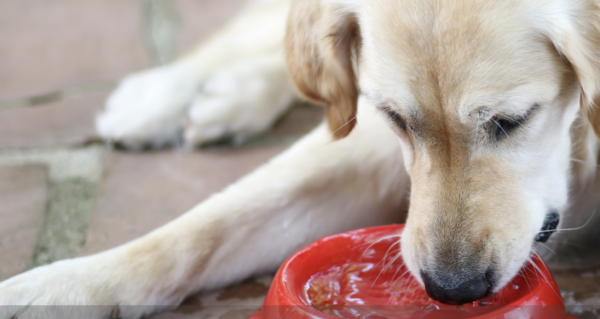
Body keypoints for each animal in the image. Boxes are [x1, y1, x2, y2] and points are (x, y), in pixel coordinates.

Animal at [1, 0, 600, 318]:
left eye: (512, 120)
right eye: (396, 117)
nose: (452, 290)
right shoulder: (365, 140)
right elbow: (199, 230)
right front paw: (55, 289)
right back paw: (166, 93)